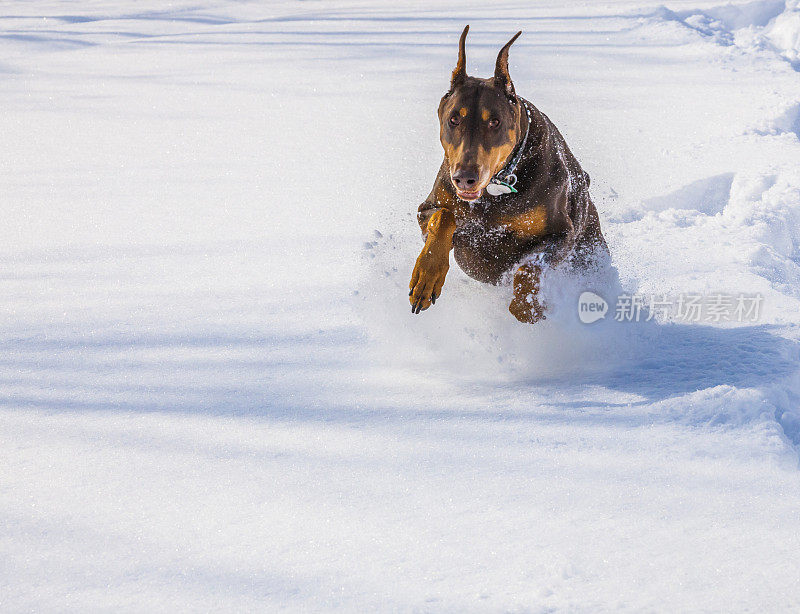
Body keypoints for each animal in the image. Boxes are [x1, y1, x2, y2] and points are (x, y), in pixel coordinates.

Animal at [410, 25, 608, 322]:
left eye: (495, 121)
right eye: (454, 118)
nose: (465, 177)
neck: (495, 189)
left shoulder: (562, 234)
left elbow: (530, 266)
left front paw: (527, 307)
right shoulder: (427, 208)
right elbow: (442, 217)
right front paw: (426, 277)